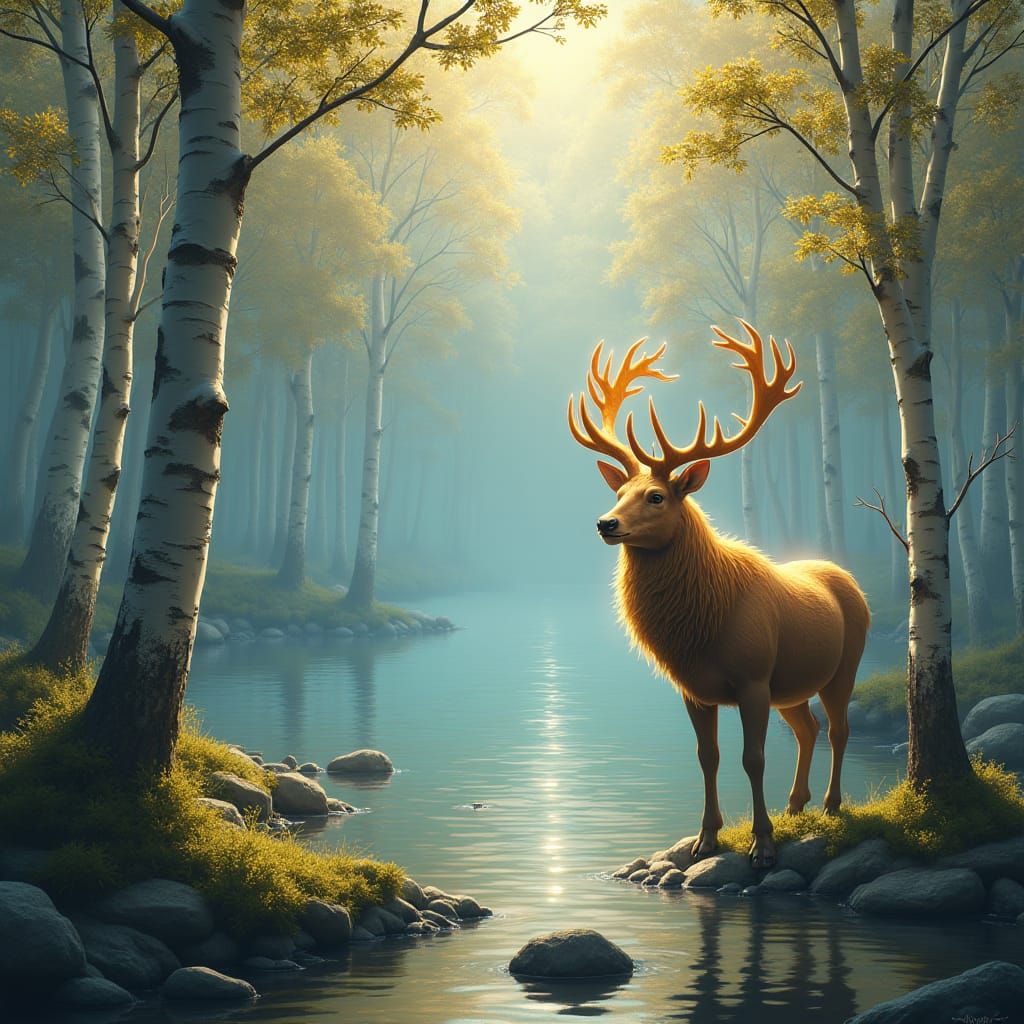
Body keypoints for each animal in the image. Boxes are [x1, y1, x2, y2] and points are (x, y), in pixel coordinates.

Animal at [567, 321, 870, 870]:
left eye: (656, 496)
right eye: (618, 493)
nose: (606, 523)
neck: (701, 627)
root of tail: (849, 579)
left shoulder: (752, 679)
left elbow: (754, 758)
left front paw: (762, 844)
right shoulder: (694, 688)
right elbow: (708, 757)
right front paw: (704, 838)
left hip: (844, 665)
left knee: (838, 728)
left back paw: (832, 805)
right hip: (790, 685)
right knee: (808, 727)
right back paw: (796, 805)